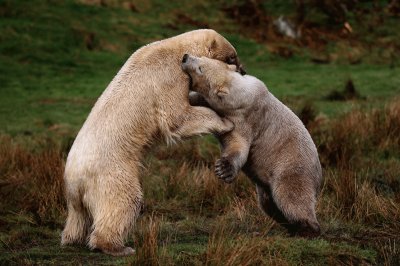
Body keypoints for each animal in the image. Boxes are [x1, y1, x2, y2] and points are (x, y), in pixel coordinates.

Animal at [61, 30, 244, 256]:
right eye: (232, 57)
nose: (243, 71)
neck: (176, 49)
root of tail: (74, 180)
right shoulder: (170, 76)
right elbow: (177, 117)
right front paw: (225, 123)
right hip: (112, 173)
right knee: (124, 200)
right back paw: (117, 246)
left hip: (76, 196)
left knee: (78, 217)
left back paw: (73, 238)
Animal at [181, 54, 322, 237]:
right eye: (201, 57)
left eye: (200, 69)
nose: (185, 57)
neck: (242, 94)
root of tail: (319, 178)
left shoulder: (245, 118)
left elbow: (238, 145)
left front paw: (223, 169)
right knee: (269, 203)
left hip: (293, 169)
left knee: (291, 197)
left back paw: (307, 228)